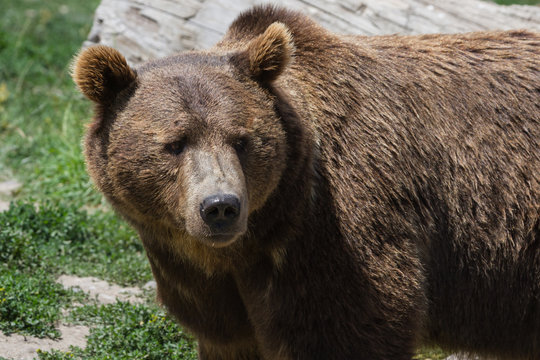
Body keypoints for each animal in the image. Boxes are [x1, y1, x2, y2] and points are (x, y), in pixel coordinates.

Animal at [70, 4, 536, 360]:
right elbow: (227, 336)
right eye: (174, 143)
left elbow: (348, 330)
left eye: (242, 139)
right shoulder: (206, 289)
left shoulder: (334, 235)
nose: (220, 207)